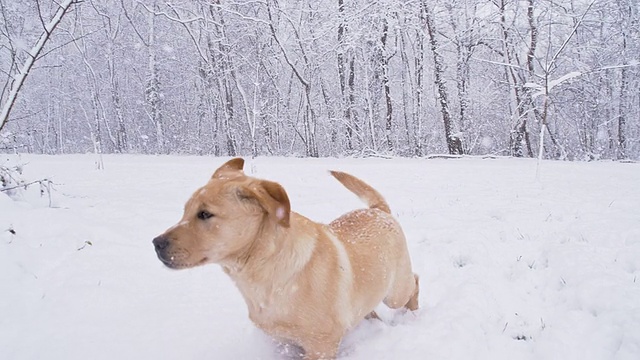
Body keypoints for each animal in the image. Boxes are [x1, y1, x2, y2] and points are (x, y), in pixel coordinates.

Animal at [152, 159, 418, 358]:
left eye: (205, 214)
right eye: (185, 211)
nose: (156, 243)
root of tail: (378, 210)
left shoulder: (320, 347)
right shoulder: (283, 343)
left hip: (395, 292)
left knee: (414, 282)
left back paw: (413, 315)